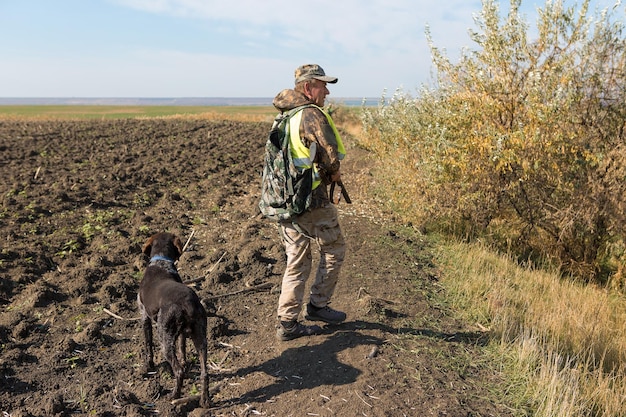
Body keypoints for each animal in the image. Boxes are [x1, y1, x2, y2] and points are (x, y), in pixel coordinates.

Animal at [137, 234, 210, 406]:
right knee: (204, 373)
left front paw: (148, 366)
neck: (161, 261)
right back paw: (204, 401)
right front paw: (185, 362)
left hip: (164, 339)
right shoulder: (183, 333)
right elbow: (182, 348)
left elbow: (148, 345)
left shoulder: (144, 316)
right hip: (200, 337)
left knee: (178, 371)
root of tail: (188, 303)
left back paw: (174, 396)